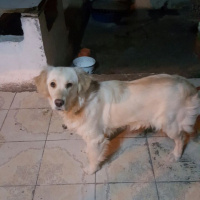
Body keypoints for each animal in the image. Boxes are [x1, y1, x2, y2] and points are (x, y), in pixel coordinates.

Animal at [34, 66, 200, 174]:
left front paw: (91, 170)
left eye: (69, 85)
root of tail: (189, 85)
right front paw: (86, 150)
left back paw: (176, 155)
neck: (81, 102)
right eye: (52, 84)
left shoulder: (96, 138)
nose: (58, 103)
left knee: (181, 137)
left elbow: (93, 157)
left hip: (169, 124)